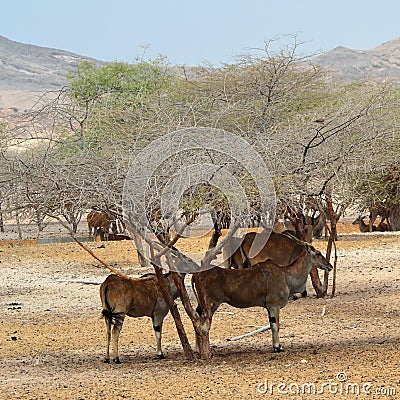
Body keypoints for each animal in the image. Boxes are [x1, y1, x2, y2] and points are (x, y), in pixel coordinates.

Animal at [192, 244, 332, 354]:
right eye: (318, 253)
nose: (330, 266)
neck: (286, 274)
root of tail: (196, 275)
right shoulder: (274, 305)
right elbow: (276, 326)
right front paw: (278, 347)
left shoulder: (269, 308)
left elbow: (271, 324)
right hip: (211, 305)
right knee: (203, 323)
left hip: (202, 305)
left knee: (197, 320)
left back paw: (197, 349)